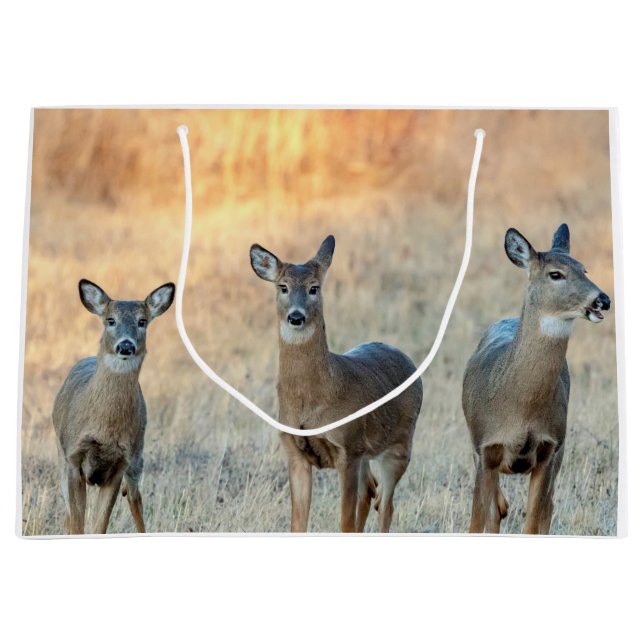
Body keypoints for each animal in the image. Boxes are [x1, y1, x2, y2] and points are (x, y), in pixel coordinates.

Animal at [53, 279, 175, 534]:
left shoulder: (120, 463)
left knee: (135, 499)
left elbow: (100, 525)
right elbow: (78, 524)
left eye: (142, 321)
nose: (126, 346)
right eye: (111, 320)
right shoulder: (73, 458)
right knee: (69, 516)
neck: (104, 429)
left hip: (138, 455)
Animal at [250, 235, 423, 533]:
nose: (296, 317)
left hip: (400, 445)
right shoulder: (295, 453)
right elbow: (298, 524)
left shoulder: (348, 450)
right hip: (368, 453)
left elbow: (345, 521)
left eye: (314, 288)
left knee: (386, 504)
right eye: (283, 287)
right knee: (370, 491)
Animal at [462, 223, 611, 534]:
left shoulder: (549, 450)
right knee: (495, 511)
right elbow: (478, 522)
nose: (603, 299)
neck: (521, 410)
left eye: (584, 269)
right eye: (555, 274)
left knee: (545, 511)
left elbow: (533, 523)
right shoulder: (485, 448)